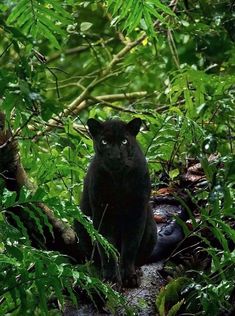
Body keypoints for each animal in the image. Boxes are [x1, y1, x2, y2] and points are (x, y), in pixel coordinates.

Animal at [77, 117, 158, 288]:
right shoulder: (102, 211)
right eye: (105, 141)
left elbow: (130, 246)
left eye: (124, 141)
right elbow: (106, 246)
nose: (114, 156)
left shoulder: (136, 210)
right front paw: (111, 278)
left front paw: (129, 276)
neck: (118, 178)